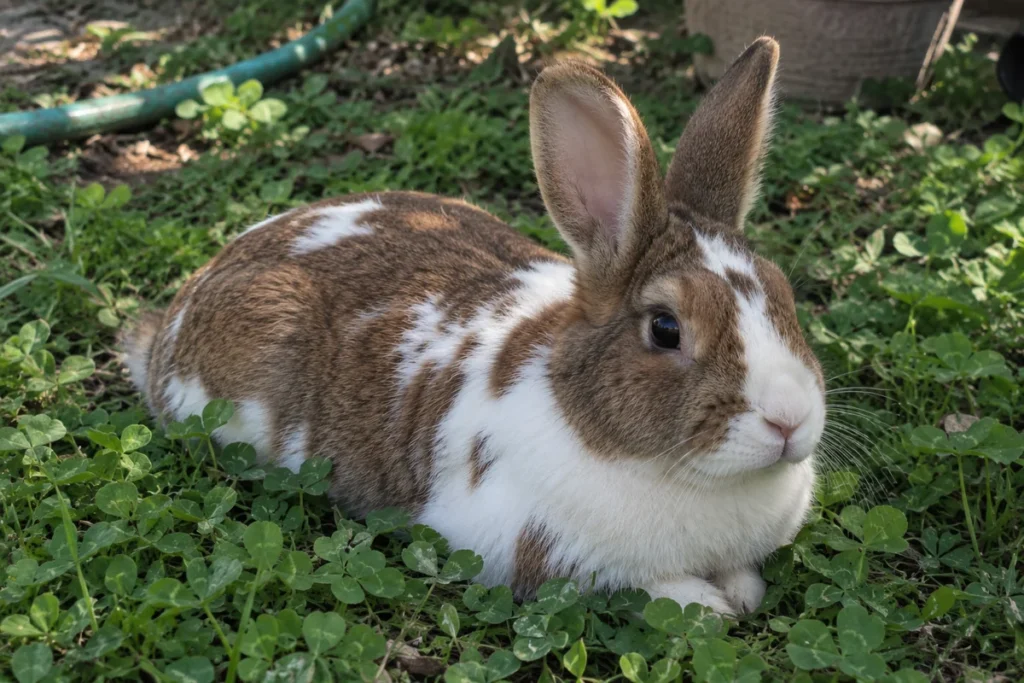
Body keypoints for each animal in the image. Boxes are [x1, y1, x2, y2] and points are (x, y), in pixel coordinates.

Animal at [122, 36, 825, 615]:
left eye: (786, 296)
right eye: (666, 329)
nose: (789, 422)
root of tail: (174, 320)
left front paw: (742, 592)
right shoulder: (533, 545)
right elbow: (657, 590)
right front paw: (712, 606)